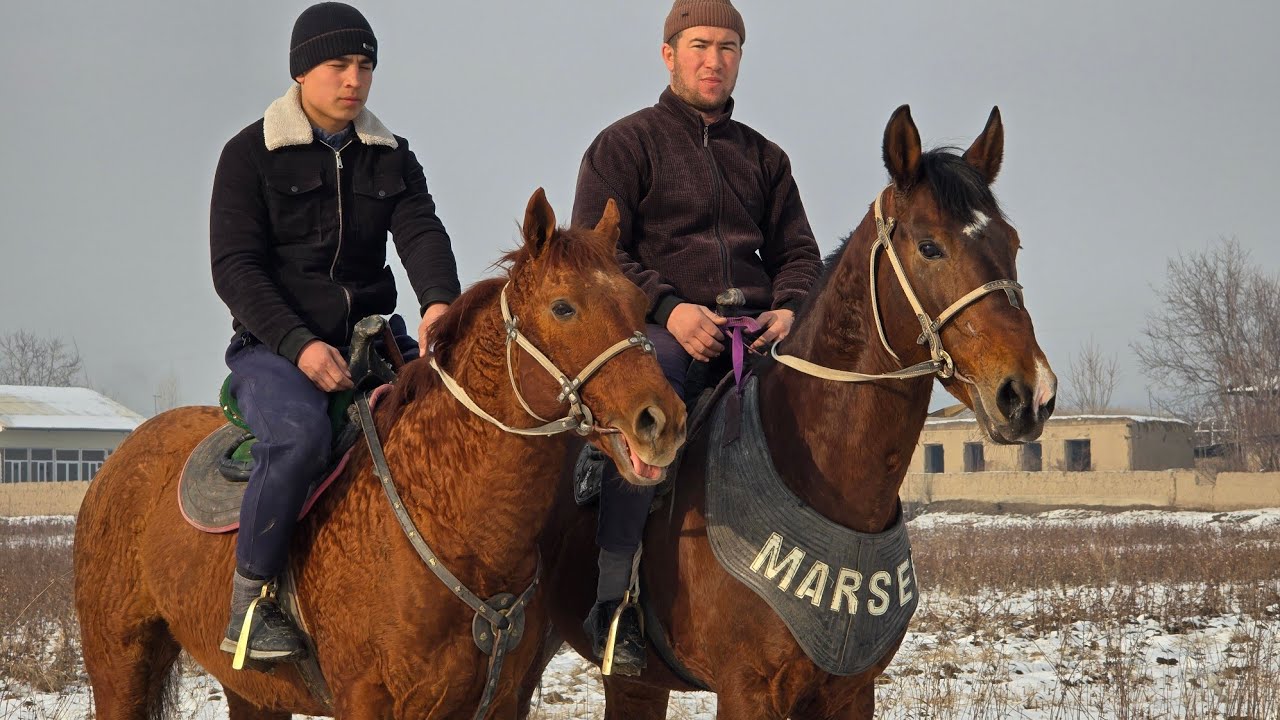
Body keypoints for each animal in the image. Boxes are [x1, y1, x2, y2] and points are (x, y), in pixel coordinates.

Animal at [73, 188, 687, 720]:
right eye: (563, 307)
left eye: (639, 302)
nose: (662, 422)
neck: (453, 519)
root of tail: (121, 460)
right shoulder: (367, 701)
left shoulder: (500, 701)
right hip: (119, 665)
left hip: (252, 693)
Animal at [520, 106, 1057, 719]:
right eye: (929, 247)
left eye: (1012, 243)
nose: (1028, 393)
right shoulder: (746, 689)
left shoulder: (851, 691)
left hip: (637, 683)